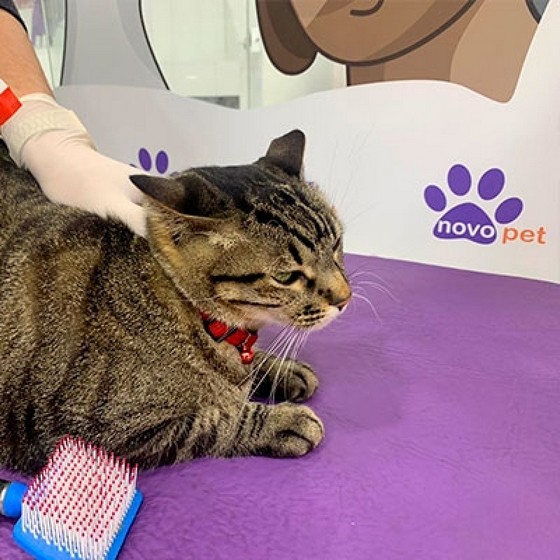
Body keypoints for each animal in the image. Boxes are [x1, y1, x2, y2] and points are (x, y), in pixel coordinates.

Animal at [0, 130, 350, 472]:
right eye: (286, 276)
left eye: (336, 244)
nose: (345, 298)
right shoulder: (97, 432)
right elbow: (215, 422)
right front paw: (282, 421)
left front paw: (283, 370)